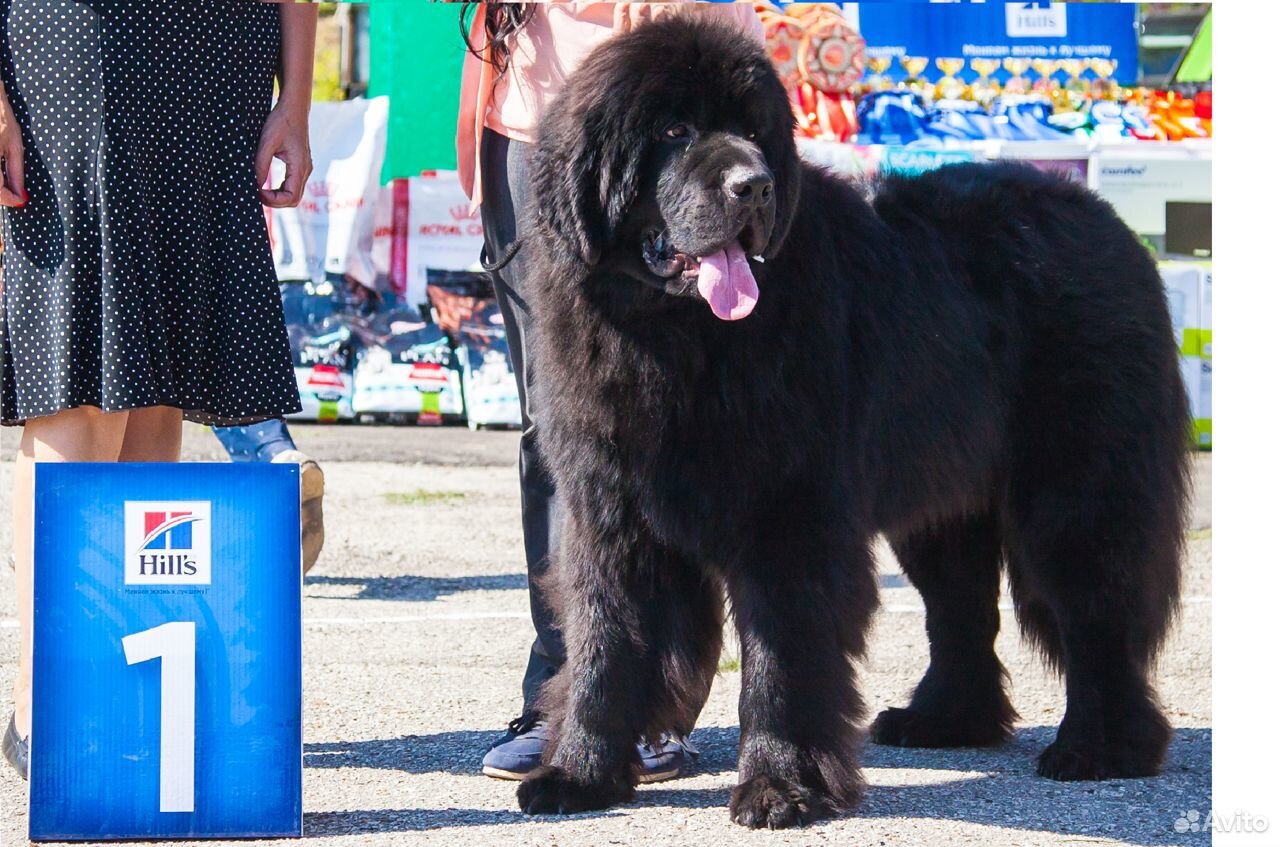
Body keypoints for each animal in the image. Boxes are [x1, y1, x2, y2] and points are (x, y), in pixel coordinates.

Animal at [514, 18, 1192, 829]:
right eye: (673, 130)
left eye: (753, 131)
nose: (755, 185)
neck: (675, 338)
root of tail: (1109, 223)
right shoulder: (608, 511)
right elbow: (605, 641)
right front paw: (577, 774)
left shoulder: (791, 515)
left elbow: (780, 660)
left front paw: (781, 787)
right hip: (941, 499)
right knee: (961, 609)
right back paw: (946, 720)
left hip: (1075, 489)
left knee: (1096, 612)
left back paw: (1101, 747)